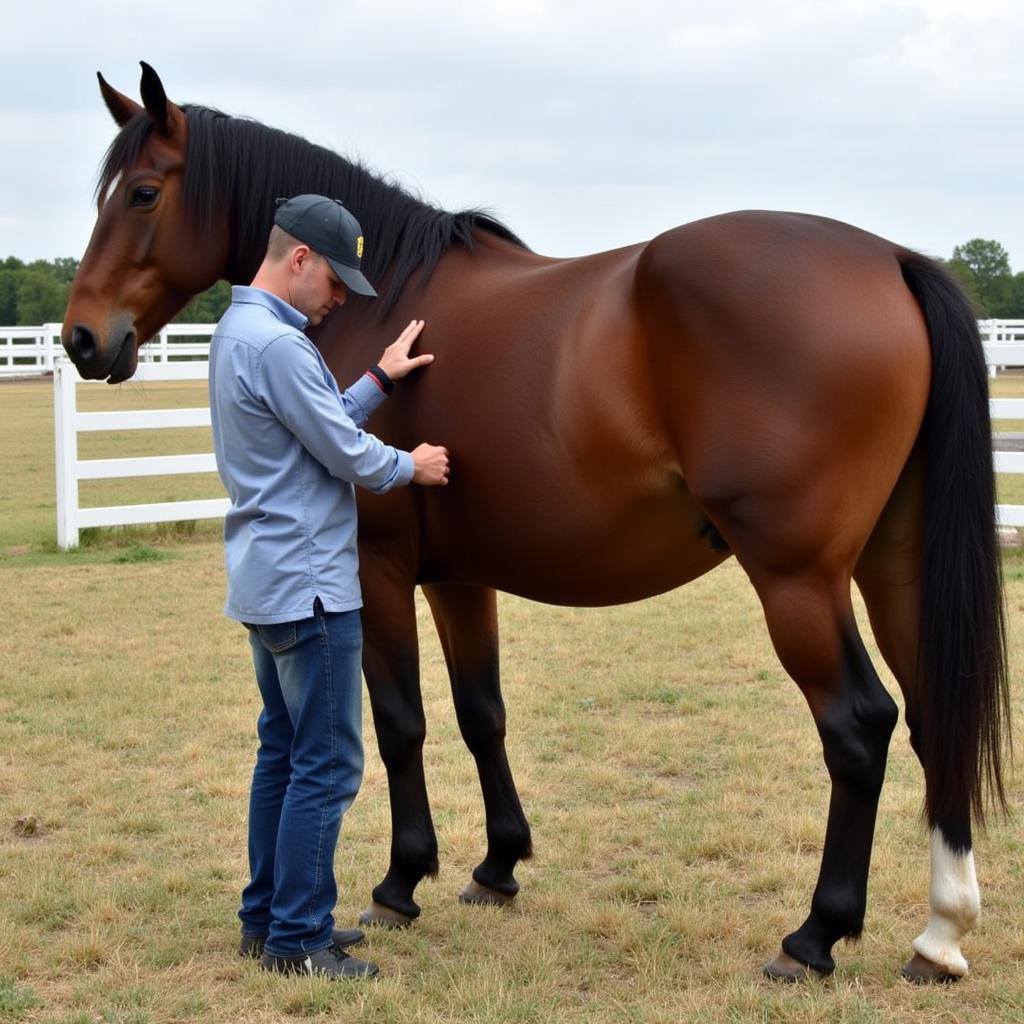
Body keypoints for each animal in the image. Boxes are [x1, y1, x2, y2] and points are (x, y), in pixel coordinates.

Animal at [61, 61, 1007, 983]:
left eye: (142, 193)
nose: (80, 340)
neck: (383, 297)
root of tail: (891, 259)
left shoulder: (377, 567)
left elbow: (401, 722)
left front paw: (401, 882)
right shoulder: (459, 577)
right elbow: (483, 713)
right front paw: (496, 867)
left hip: (797, 578)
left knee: (859, 727)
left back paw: (813, 938)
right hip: (893, 563)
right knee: (934, 716)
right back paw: (939, 937)